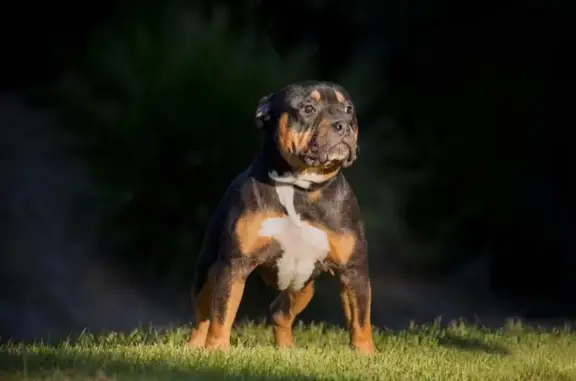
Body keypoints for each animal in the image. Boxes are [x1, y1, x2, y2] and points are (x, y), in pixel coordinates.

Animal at [184, 80, 374, 354]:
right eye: (308, 108)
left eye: (348, 109)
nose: (343, 124)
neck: (299, 187)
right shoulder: (233, 266)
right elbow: (222, 313)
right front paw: (217, 349)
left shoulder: (353, 271)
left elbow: (360, 318)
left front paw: (365, 354)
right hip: (207, 270)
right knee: (203, 314)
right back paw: (195, 347)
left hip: (303, 286)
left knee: (279, 312)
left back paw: (286, 349)